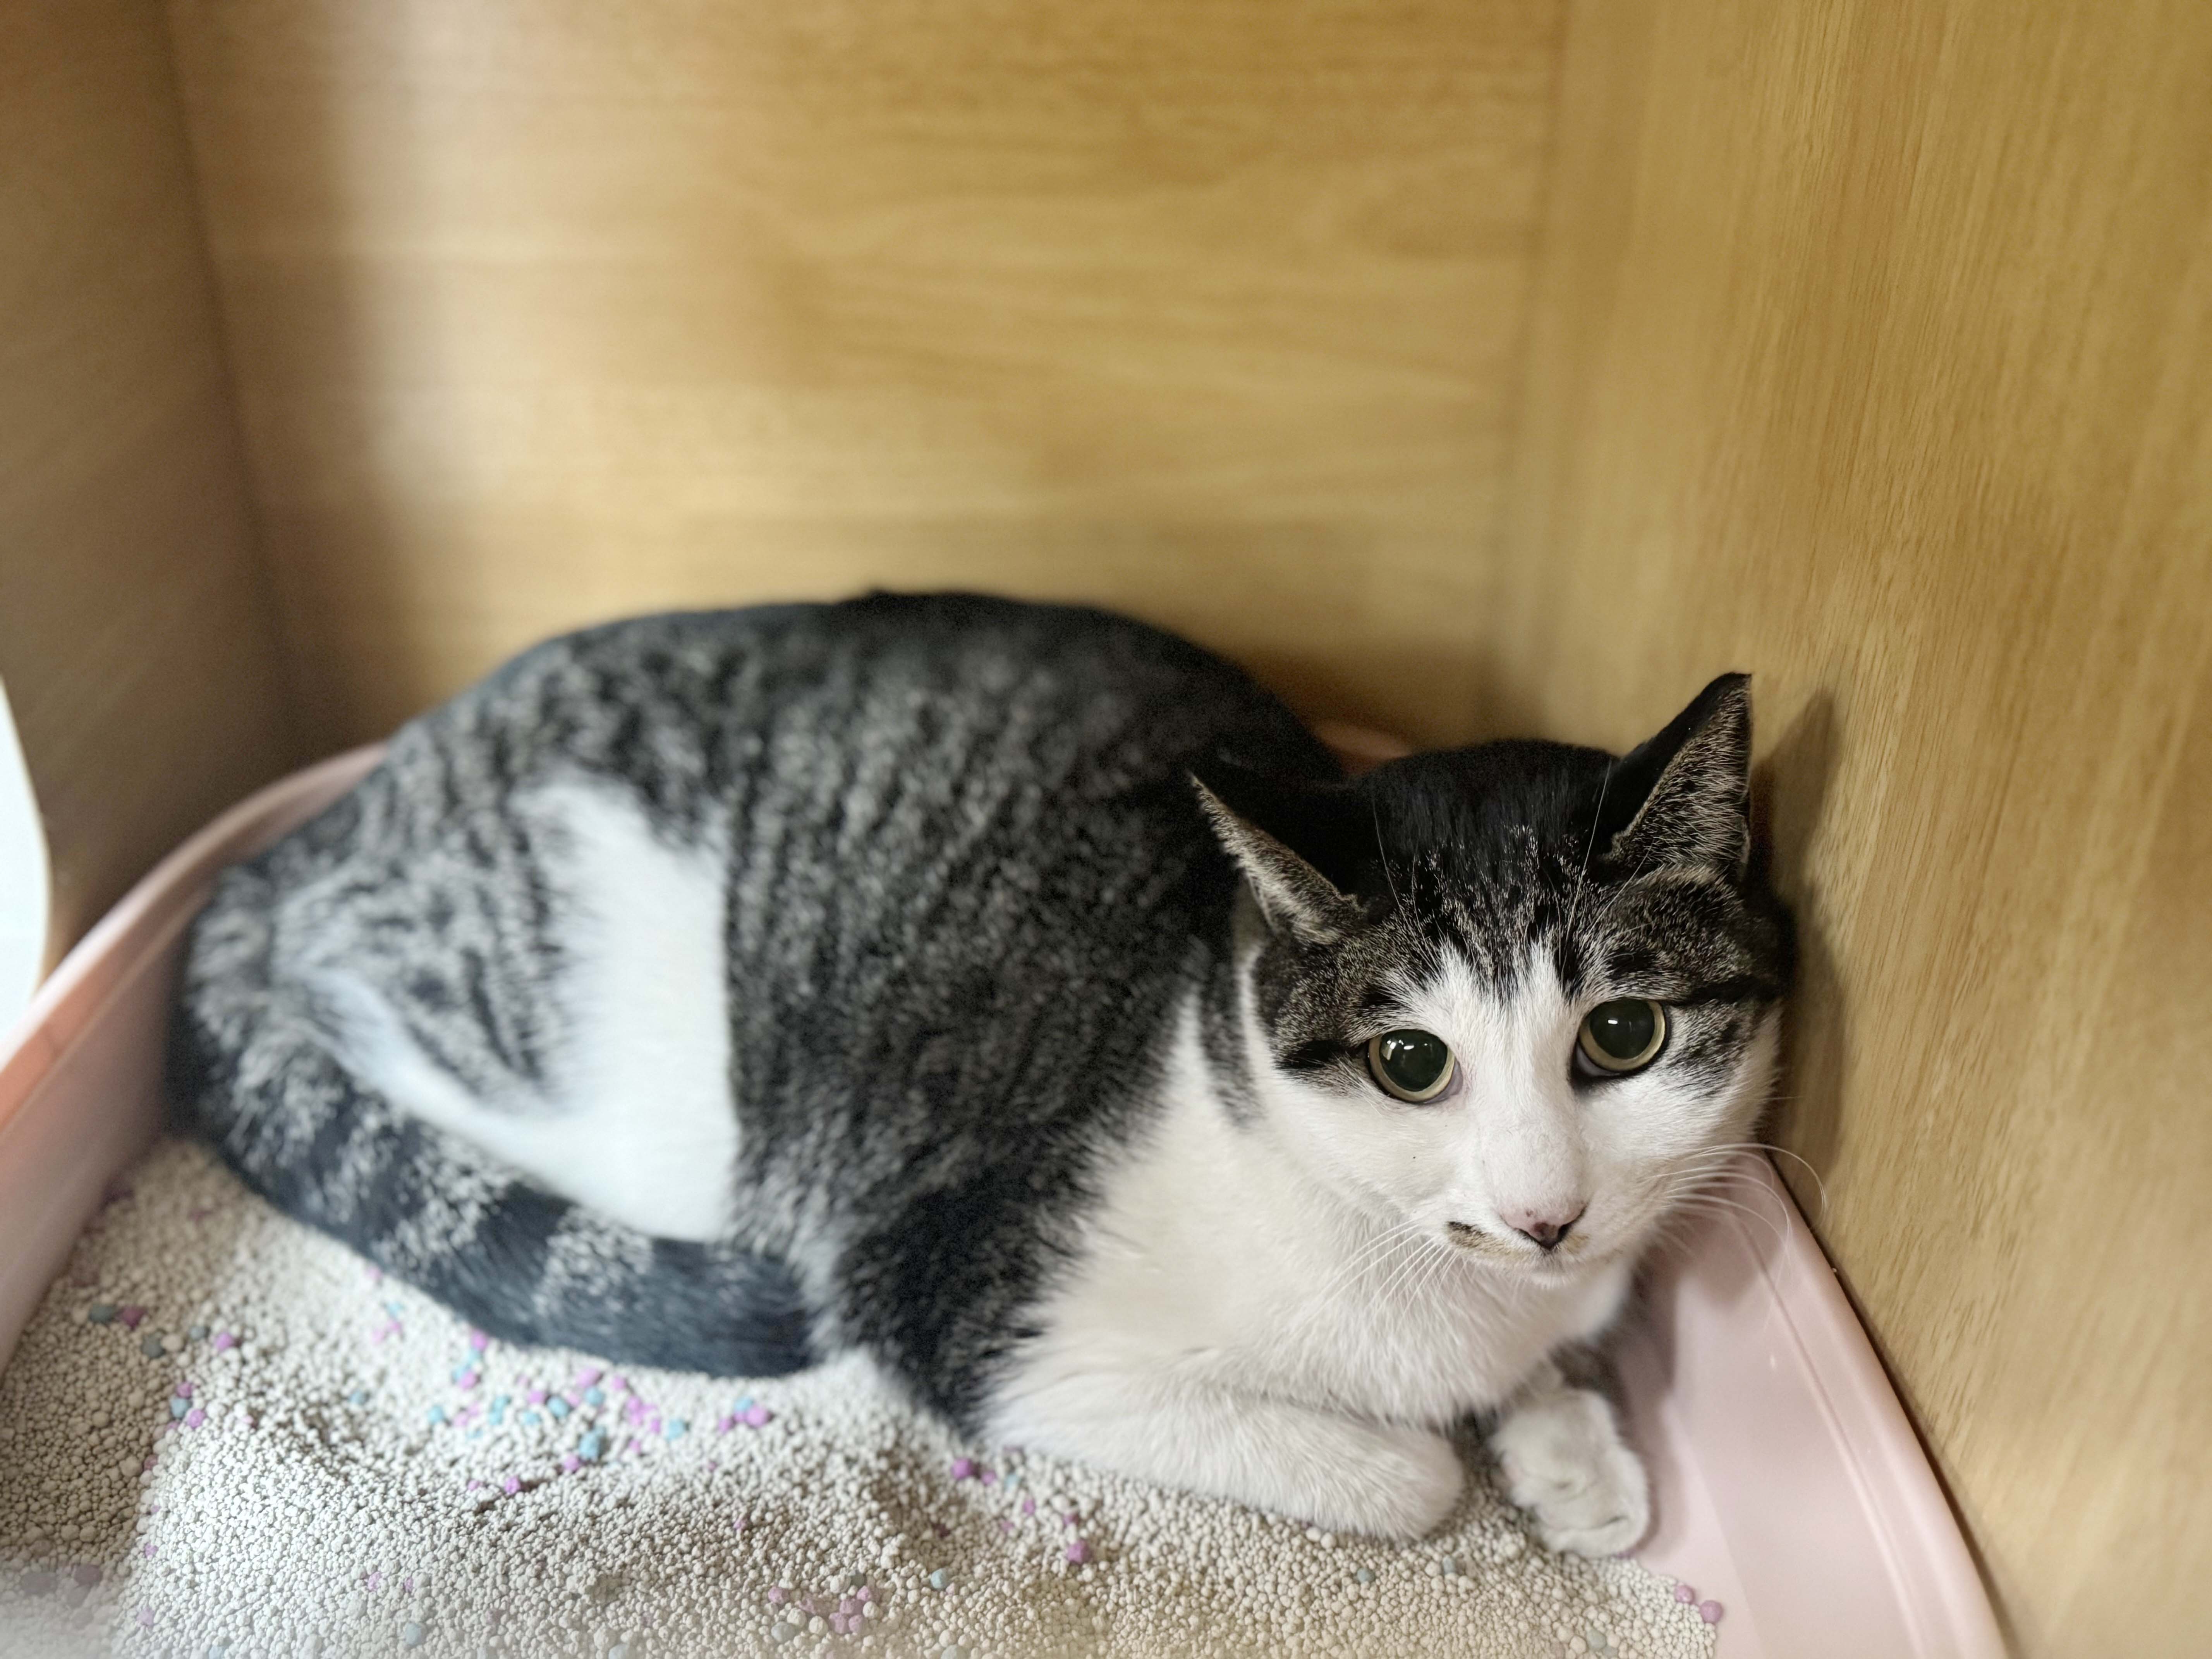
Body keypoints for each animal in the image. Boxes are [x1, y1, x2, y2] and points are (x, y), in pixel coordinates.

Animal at [170, 592, 1790, 1550]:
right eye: (1411, 1061)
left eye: (1622, 1038)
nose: (1543, 1213)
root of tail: (334, 810)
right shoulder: (975, 1310)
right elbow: (1401, 1472)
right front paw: (1471, 1444)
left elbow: (1545, 1356)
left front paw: (1572, 1448)